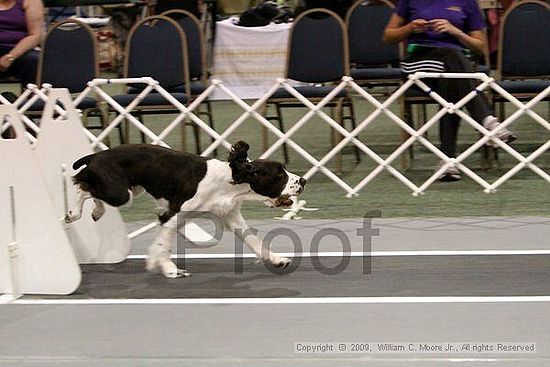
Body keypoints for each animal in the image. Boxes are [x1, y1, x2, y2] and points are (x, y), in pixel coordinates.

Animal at [66, 142, 306, 278]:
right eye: (279, 174)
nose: (303, 181)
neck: (228, 181)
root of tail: (97, 155)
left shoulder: (230, 215)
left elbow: (254, 240)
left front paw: (277, 260)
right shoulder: (171, 214)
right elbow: (163, 244)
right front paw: (170, 270)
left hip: (131, 190)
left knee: (90, 189)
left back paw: (96, 212)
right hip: (121, 194)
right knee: (81, 185)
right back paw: (73, 214)